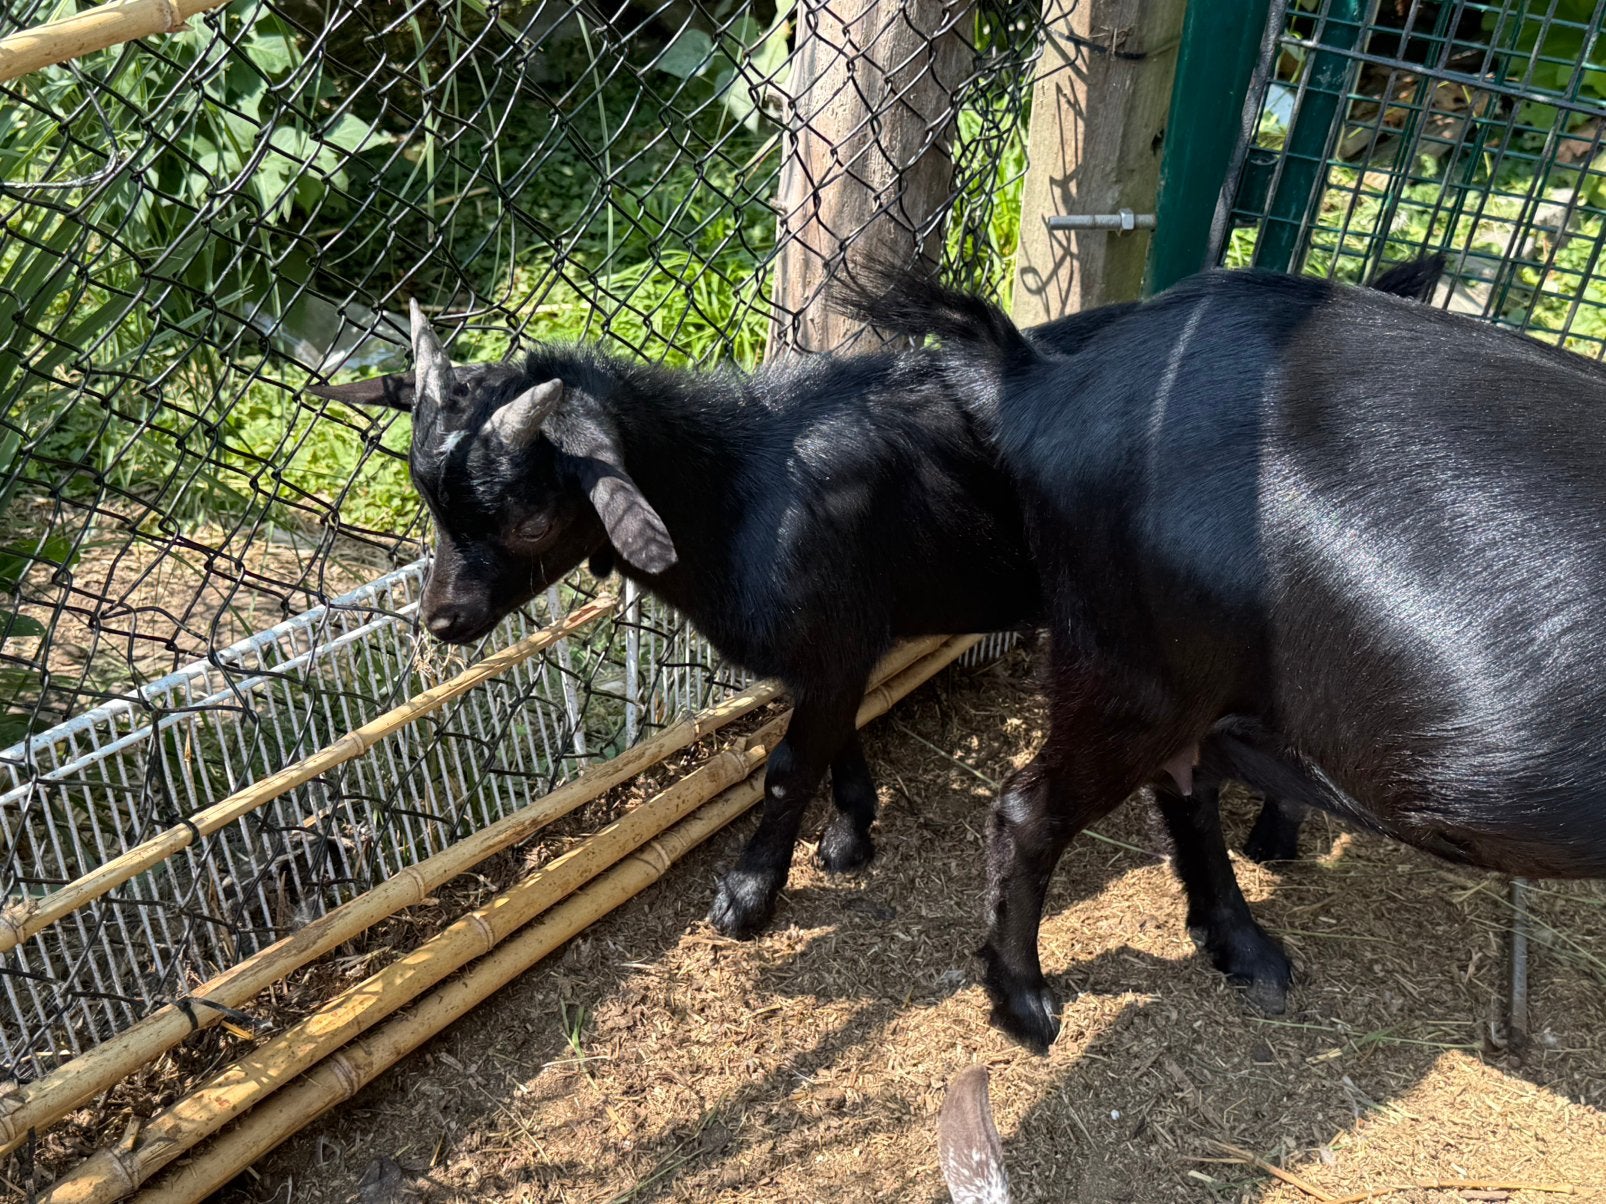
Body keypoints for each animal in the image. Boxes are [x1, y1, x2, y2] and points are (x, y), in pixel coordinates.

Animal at [307, 258, 1438, 1001]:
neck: (737, 487)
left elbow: (781, 767)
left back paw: (1274, 838)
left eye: (529, 515)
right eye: (428, 500)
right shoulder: (833, 644)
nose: (446, 619)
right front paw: (852, 832)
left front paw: (749, 894)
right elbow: (833, 736)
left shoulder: (837, 630)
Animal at [837, 260, 1606, 1052]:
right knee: (1035, 811)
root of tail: (1041, 381)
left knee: (1184, 789)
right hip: (1135, 663)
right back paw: (1032, 1014)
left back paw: (1258, 961)